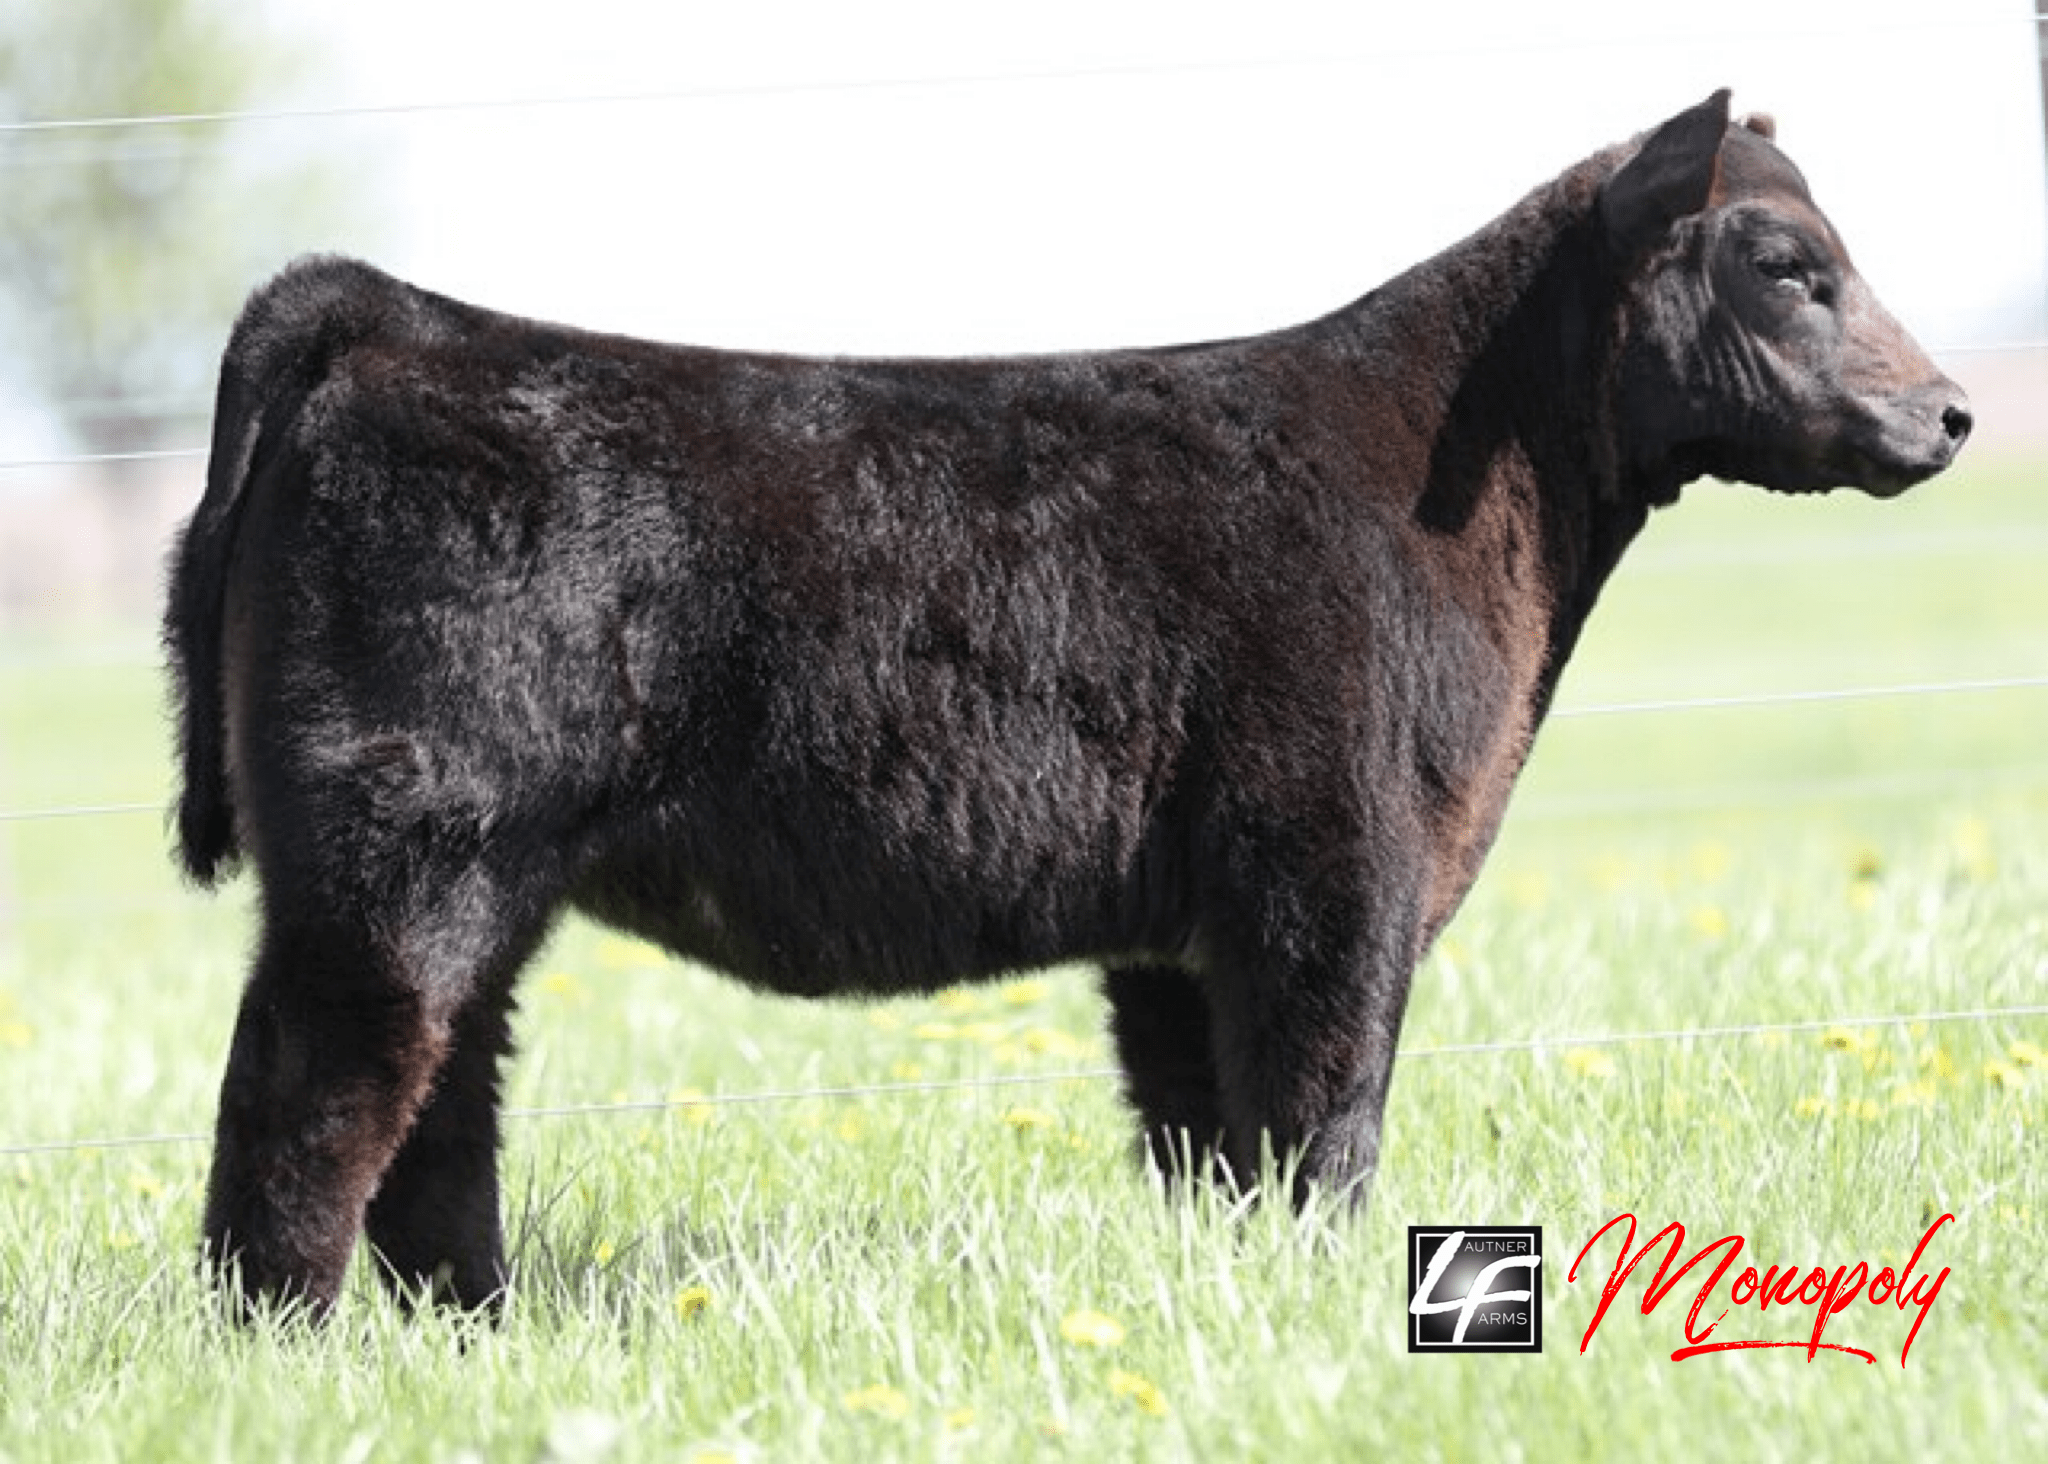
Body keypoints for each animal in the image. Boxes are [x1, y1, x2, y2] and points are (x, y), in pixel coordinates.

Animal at [166, 90, 1970, 1318]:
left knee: (436, 1110)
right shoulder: (1334, 878)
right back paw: (288, 1346)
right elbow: (1323, 1118)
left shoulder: (1181, 931)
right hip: (408, 852)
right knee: (315, 1095)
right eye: (1787, 264)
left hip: (468, 881)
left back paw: (473, 1330)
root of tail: (393, 318)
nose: (1952, 409)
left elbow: (1213, 1141)